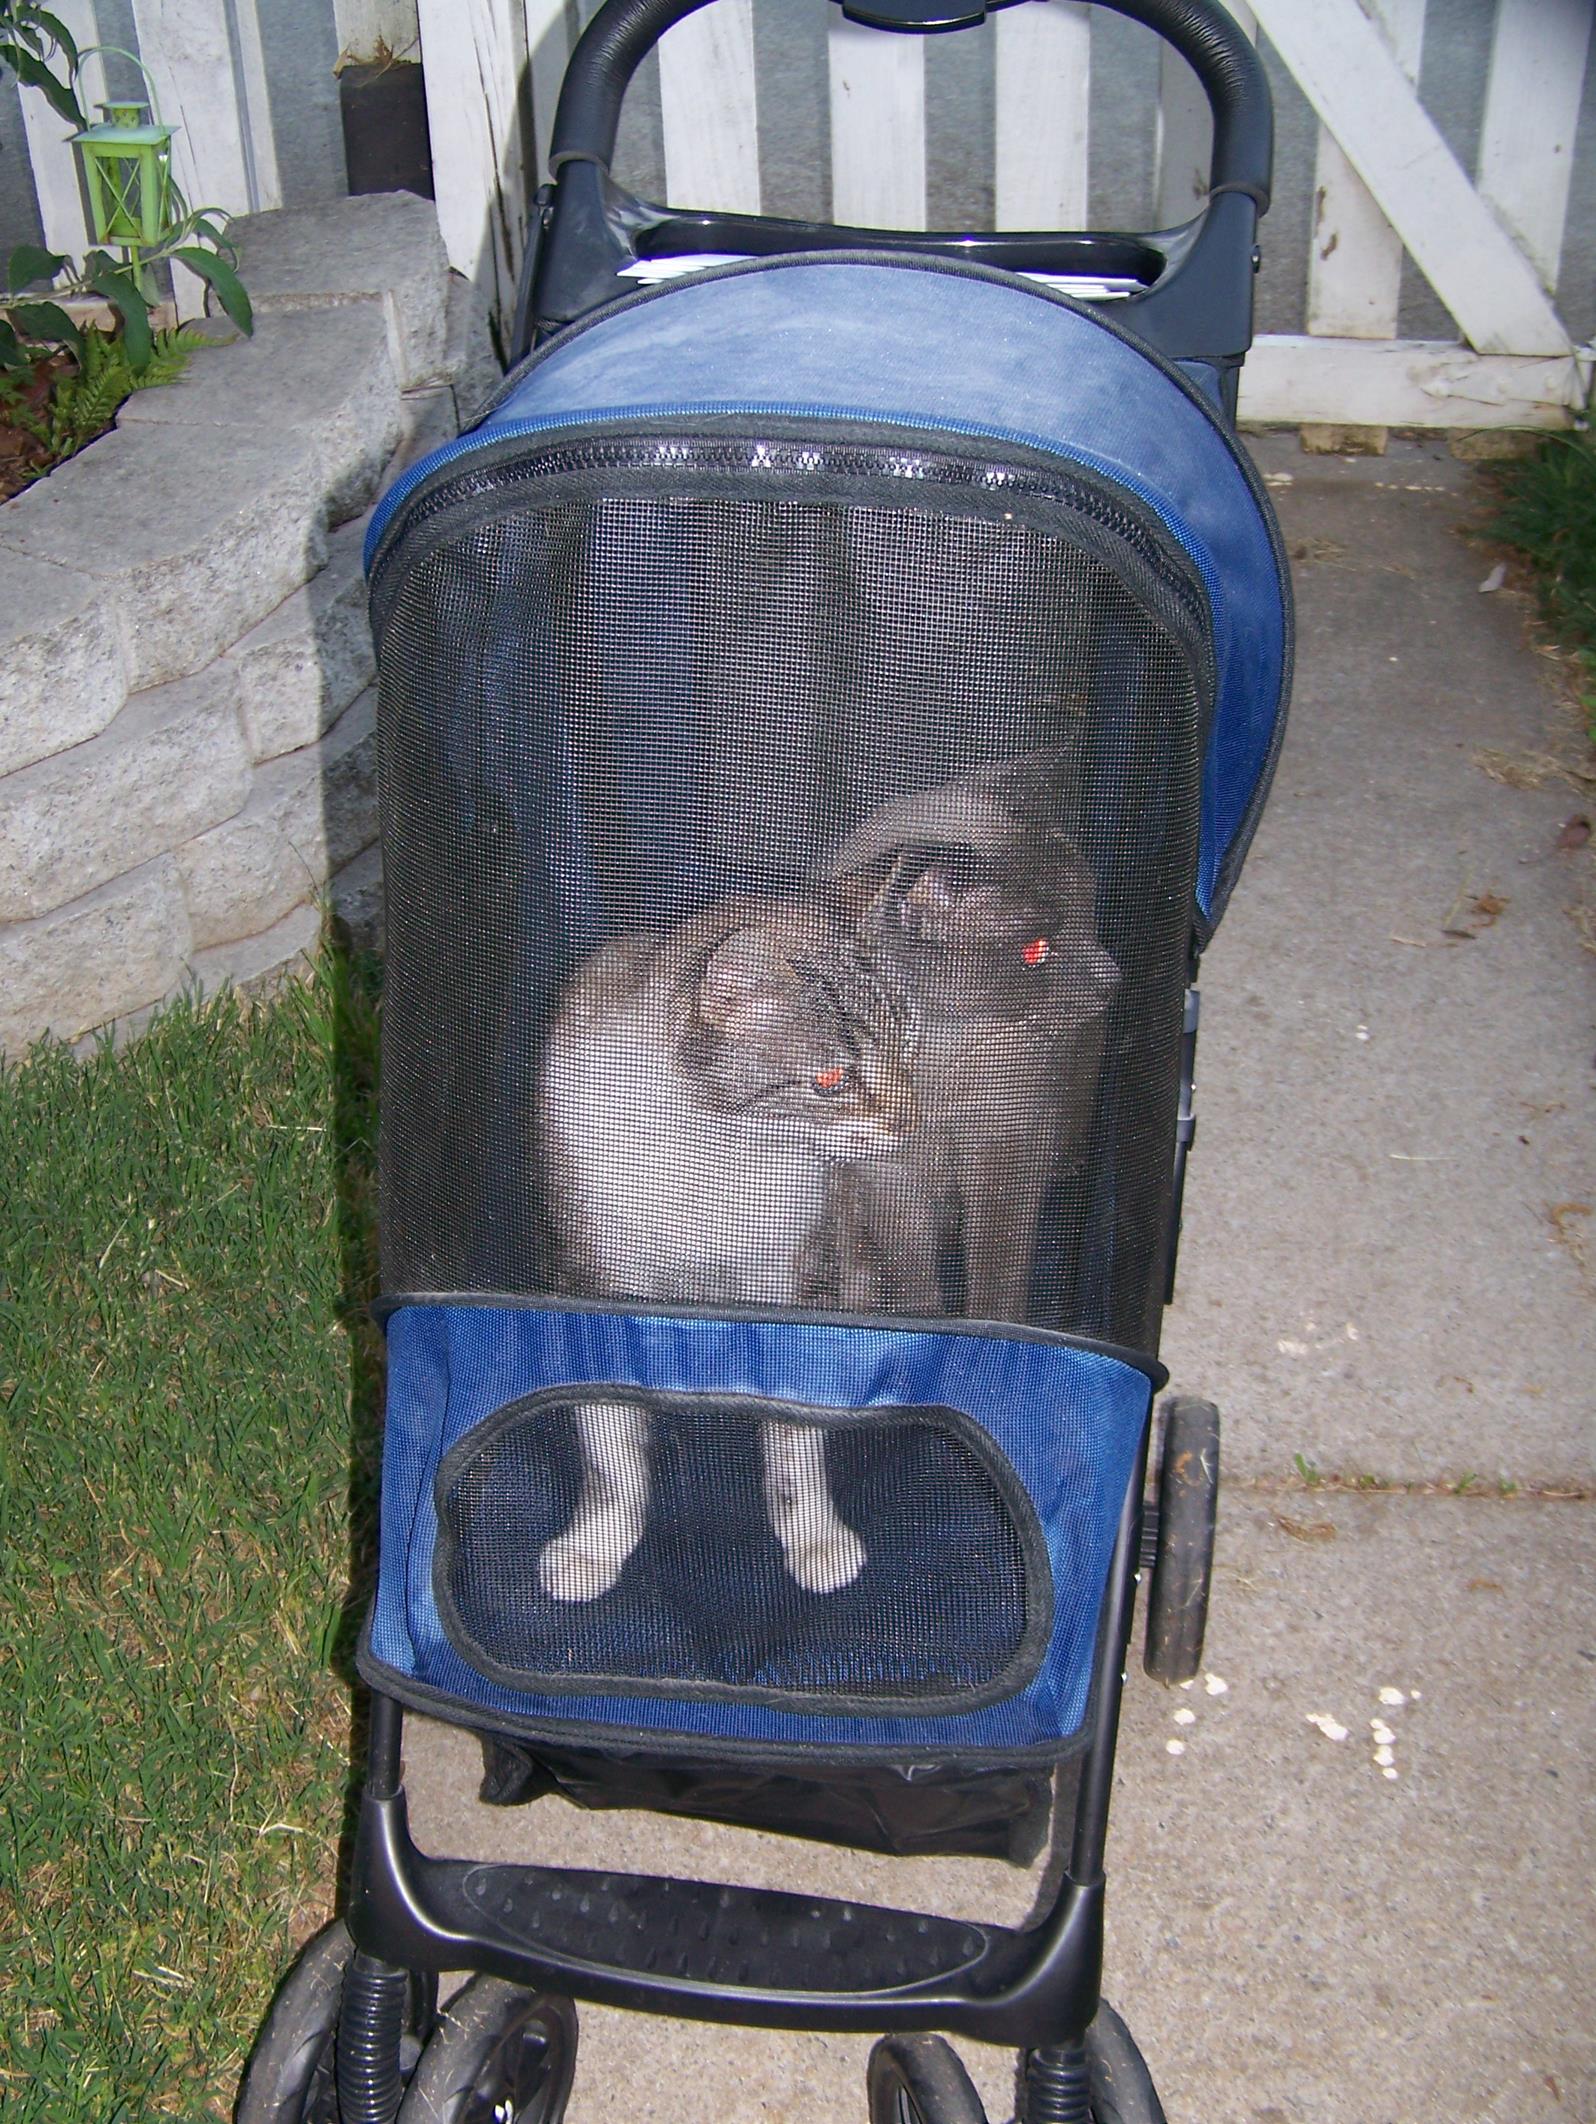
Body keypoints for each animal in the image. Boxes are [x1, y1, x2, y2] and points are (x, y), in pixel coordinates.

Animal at [539, 887, 922, 1597]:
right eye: (830, 1080)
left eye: (906, 1047)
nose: (912, 1123)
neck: (718, 1154)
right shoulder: (588, 1276)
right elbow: (608, 1443)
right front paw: (594, 1545)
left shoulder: (801, 1274)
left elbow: (796, 1430)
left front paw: (813, 1535)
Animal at [824, 743, 1122, 1308]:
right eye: (1036, 951)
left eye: (1090, 915)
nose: (1110, 981)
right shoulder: (884, 1171)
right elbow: (910, 1270)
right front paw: (917, 1318)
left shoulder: (1010, 1142)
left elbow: (998, 1267)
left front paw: (993, 1325)